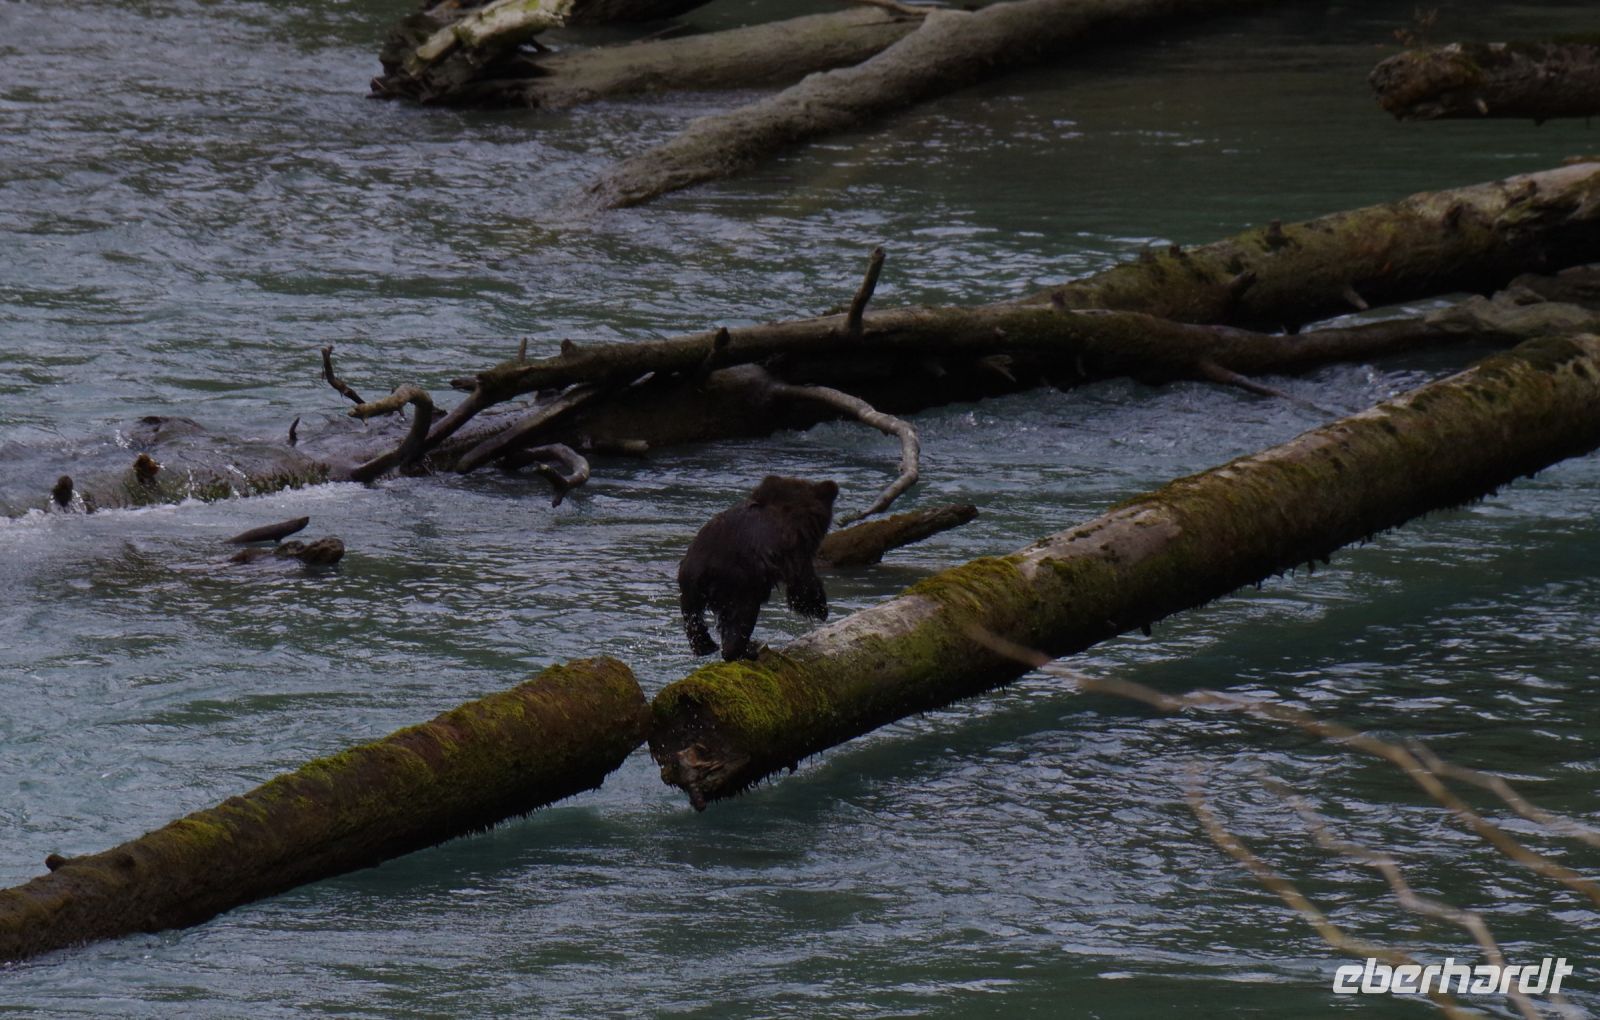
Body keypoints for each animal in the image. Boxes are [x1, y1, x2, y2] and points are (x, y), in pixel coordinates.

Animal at [678, 475, 840, 661]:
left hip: (688, 584)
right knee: (741, 617)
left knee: (693, 619)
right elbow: (802, 577)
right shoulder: (793, 545)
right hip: (739, 582)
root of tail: (702, 571)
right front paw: (819, 608)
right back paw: (749, 649)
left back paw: (707, 646)